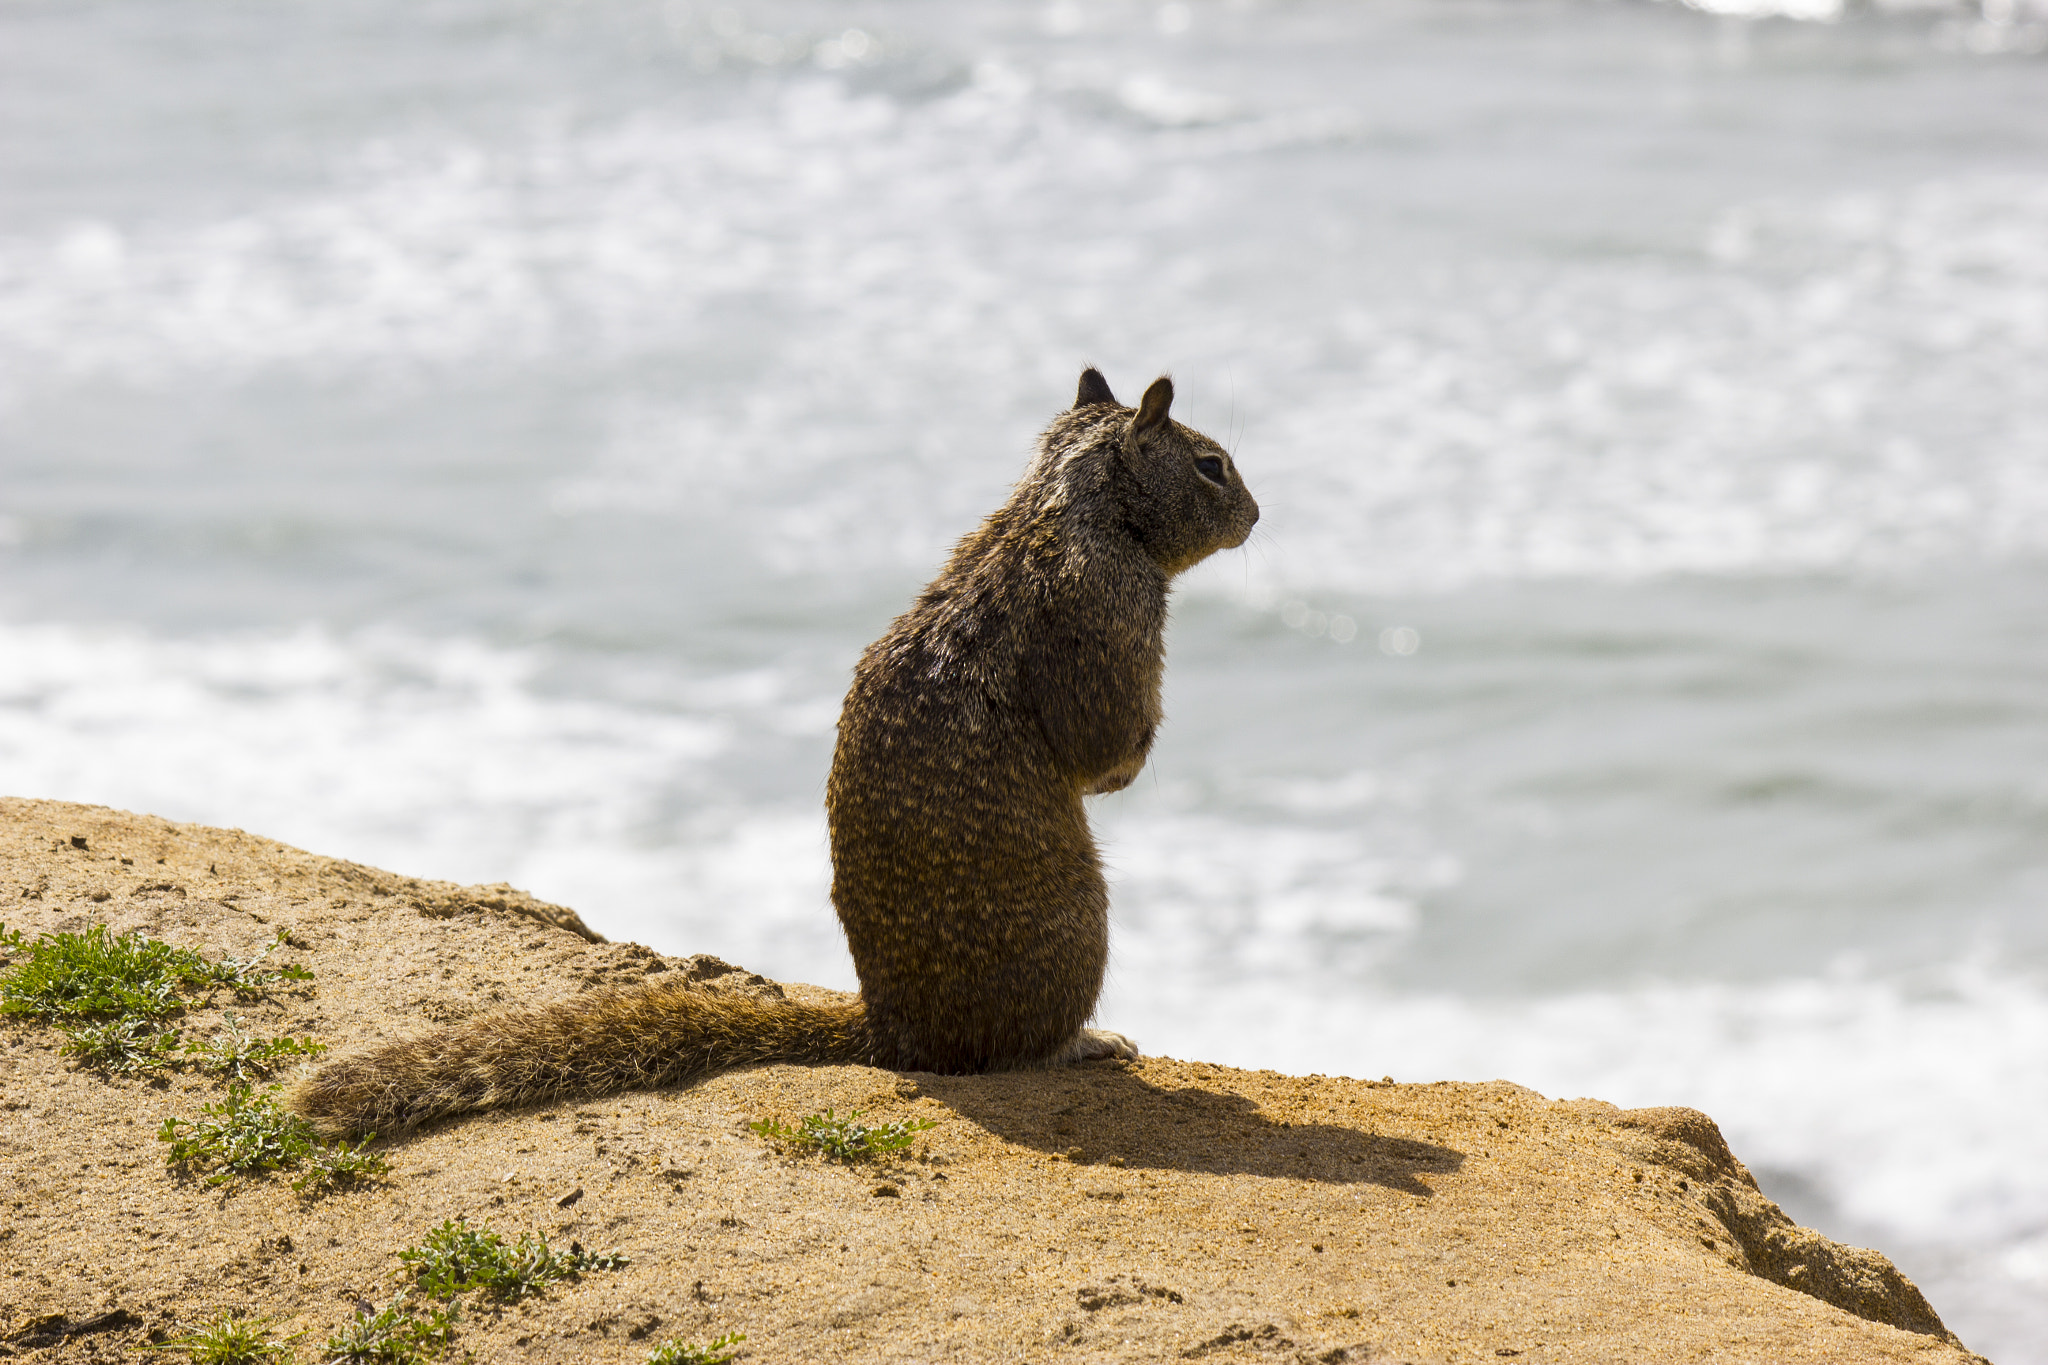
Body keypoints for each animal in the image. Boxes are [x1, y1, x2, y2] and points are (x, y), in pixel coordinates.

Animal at [287, 368, 1258, 1136]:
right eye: (1210, 463)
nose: (1255, 514)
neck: (1065, 507)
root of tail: (896, 1033)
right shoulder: (1113, 611)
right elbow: (1104, 744)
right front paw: (1126, 764)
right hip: (1077, 924)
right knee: (1018, 1051)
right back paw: (1089, 1041)